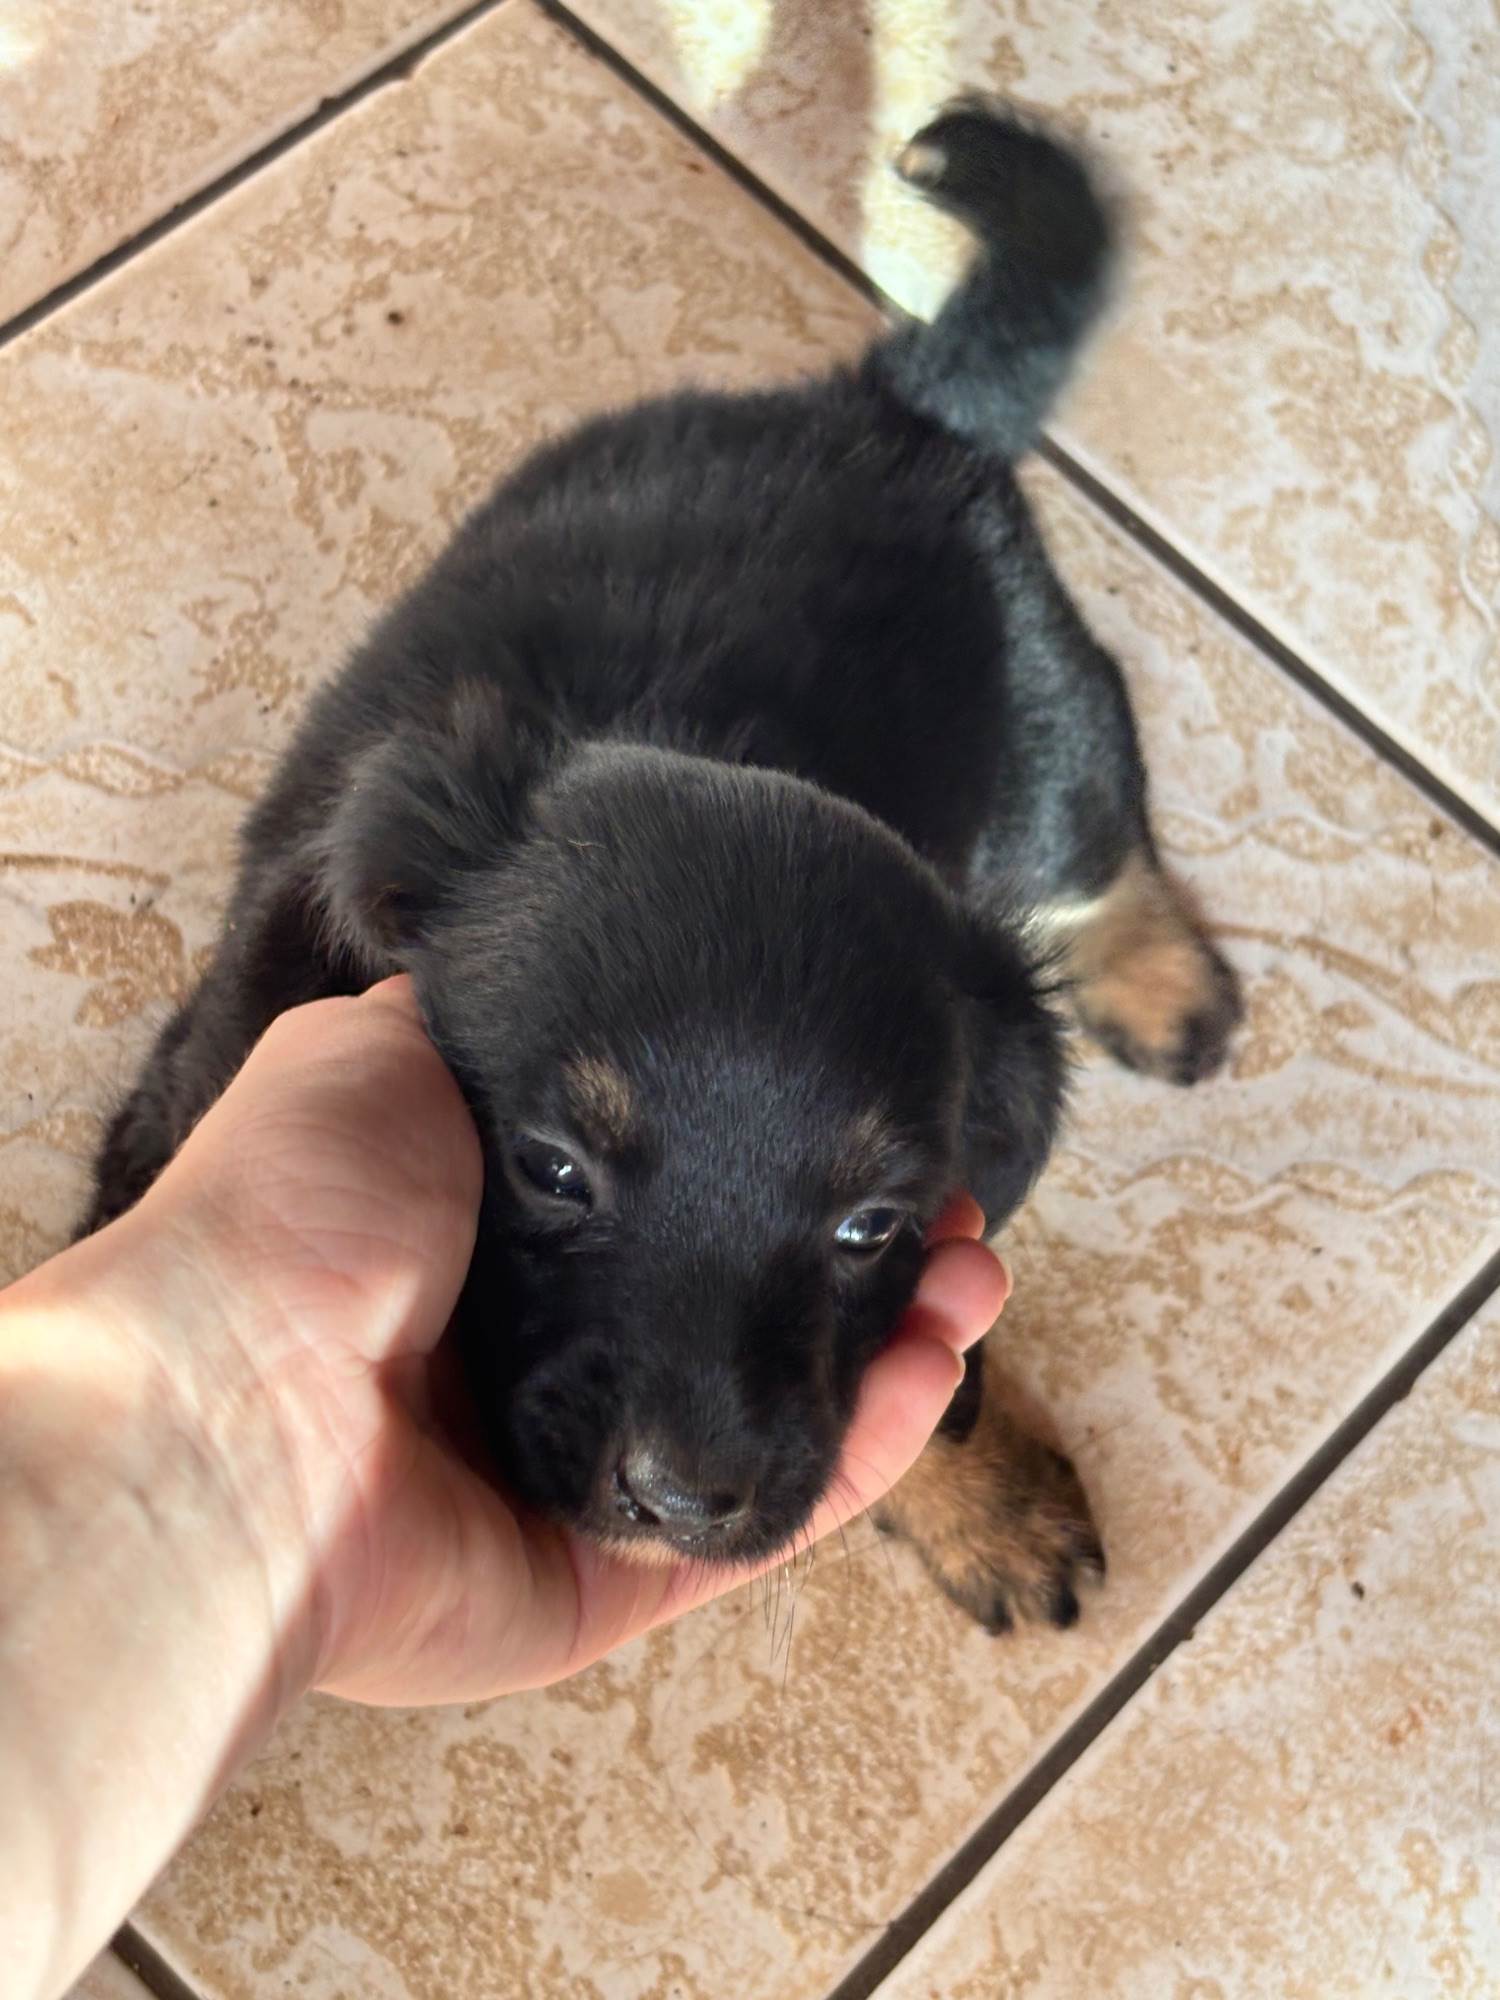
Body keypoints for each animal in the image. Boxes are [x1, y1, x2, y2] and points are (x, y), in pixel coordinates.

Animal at [82, 99, 1240, 1633]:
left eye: (872, 1223)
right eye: (550, 1168)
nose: (686, 1500)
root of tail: (895, 404)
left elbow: (944, 1393)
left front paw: (992, 1510)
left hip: (1053, 741)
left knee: (1098, 839)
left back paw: (1163, 984)